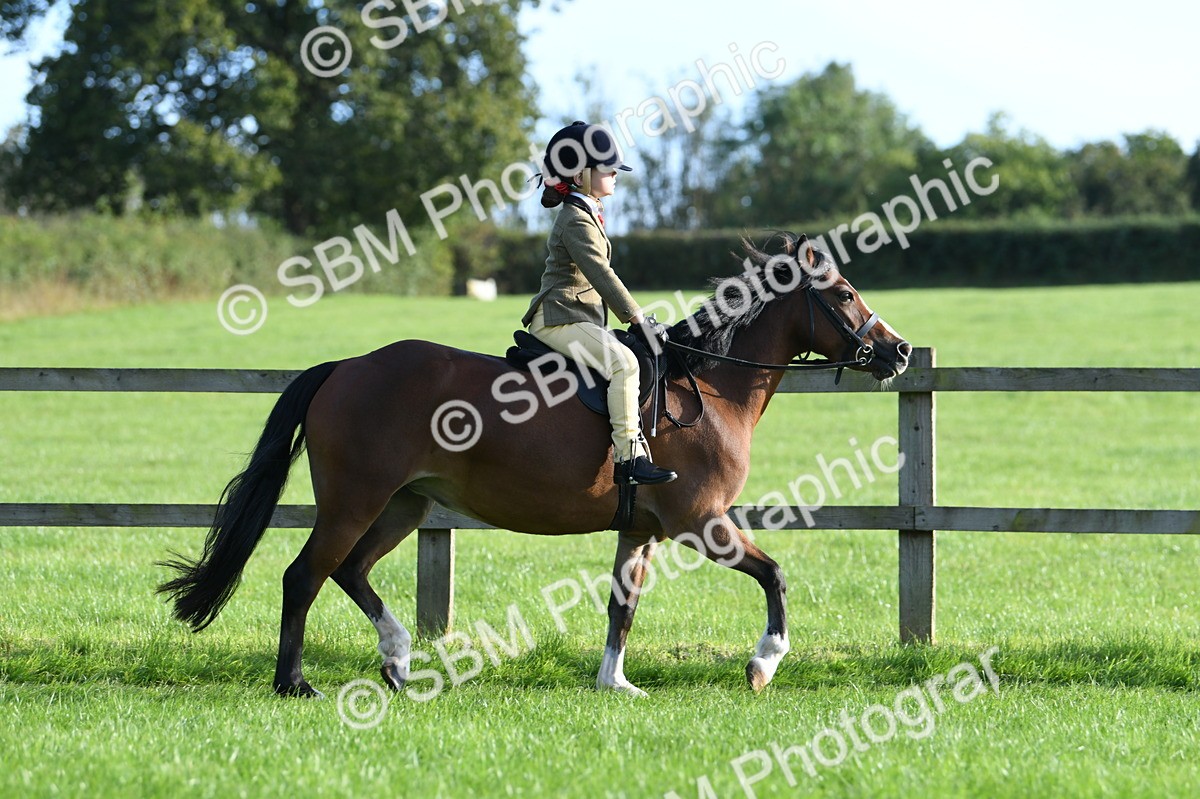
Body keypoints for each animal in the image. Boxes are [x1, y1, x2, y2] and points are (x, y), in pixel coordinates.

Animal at [157, 234, 911, 698]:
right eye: (843, 293)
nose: (899, 351)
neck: (709, 383)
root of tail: (347, 366)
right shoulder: (701, 522)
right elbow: (774, 575)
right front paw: (763, 663)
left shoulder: (640, 530)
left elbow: (622, 606)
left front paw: (614, 682)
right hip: (355, 500)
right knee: (305, 574)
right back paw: (294, 682)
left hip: (404, 503)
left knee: (350, 570)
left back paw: (398, 659)